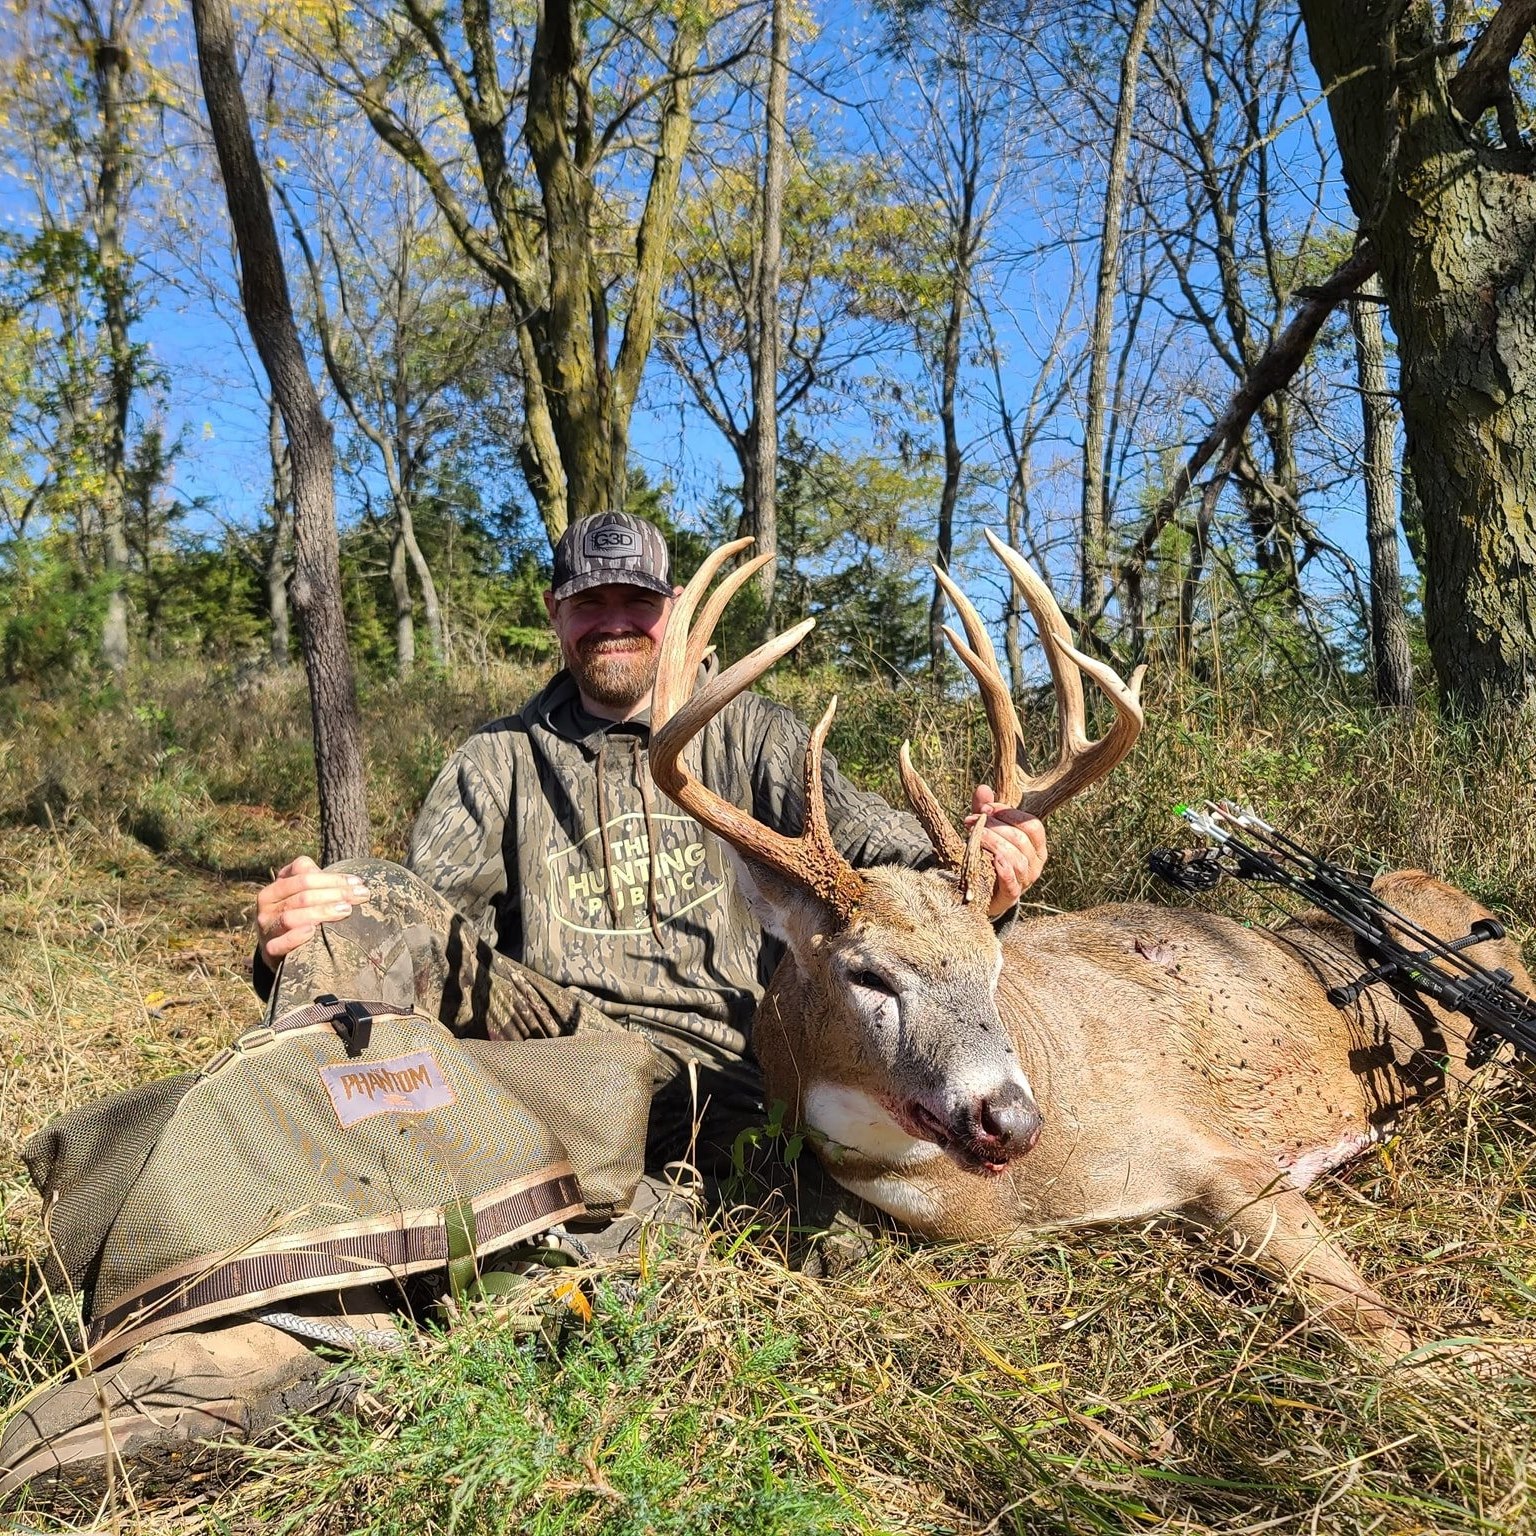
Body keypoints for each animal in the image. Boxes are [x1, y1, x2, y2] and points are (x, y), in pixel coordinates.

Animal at [647, 533, 1532, 1359]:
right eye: (867, 974)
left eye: (992, 966)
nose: (1009, 1120)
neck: (1006, 1198)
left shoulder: (1228, 1161)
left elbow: (1386, 1341)